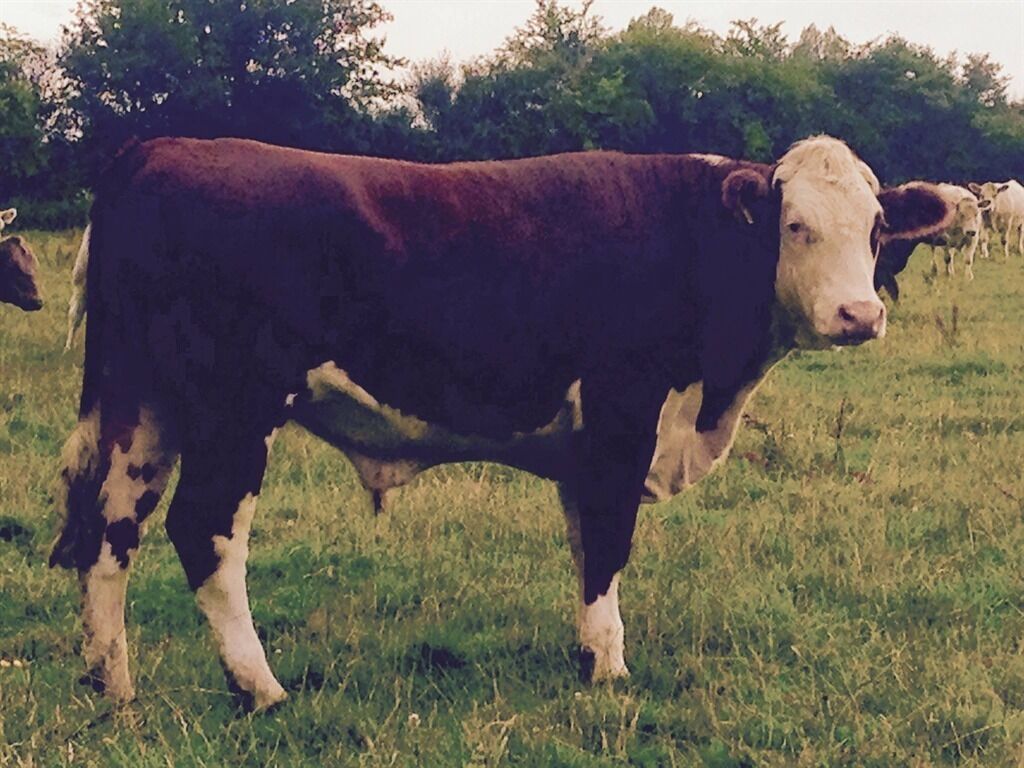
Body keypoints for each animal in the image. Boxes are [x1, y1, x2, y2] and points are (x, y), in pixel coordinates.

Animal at [50, 136, 952, 710]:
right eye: (796, 226)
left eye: (878, 230)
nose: (859, 315)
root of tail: (158, 149)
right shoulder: (624, 418)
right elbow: (610, 545)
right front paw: (611, 671)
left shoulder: (589, 447)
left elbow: (587, 547)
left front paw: (588, 653)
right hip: (233, 409)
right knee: (203, 532)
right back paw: (259, 689)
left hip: (142, 406)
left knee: (111, 529)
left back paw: (111, 684)